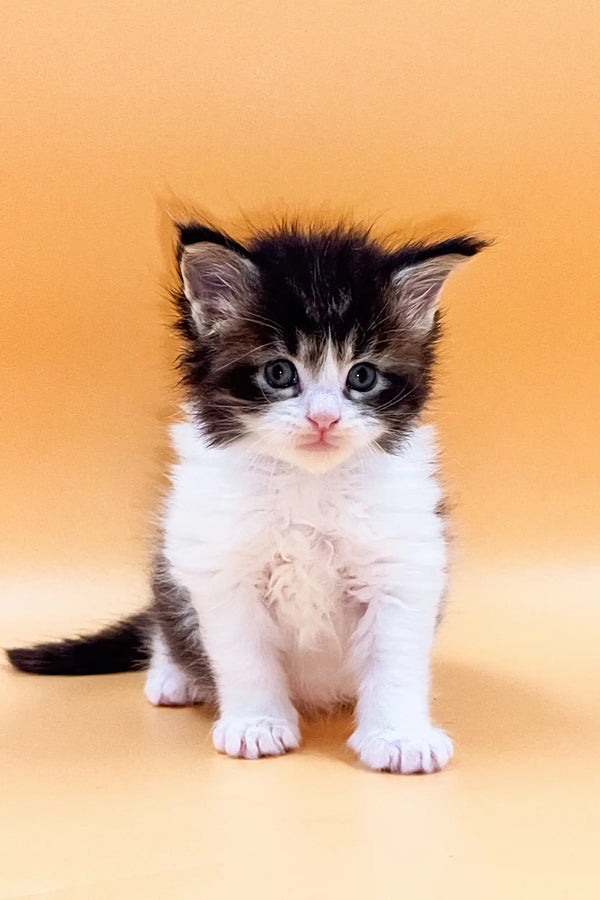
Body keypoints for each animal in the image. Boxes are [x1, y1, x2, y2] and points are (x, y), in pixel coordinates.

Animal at [8, 220, 488, 772]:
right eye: (279, 373)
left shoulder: (405, 563)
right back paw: (173, 676)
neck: (308, 482)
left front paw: (399, 736)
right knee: (165, 624)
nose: (324, 419)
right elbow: (244, 655)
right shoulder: (220, 565)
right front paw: (257, 725)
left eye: (362, 376)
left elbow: (396, 659)